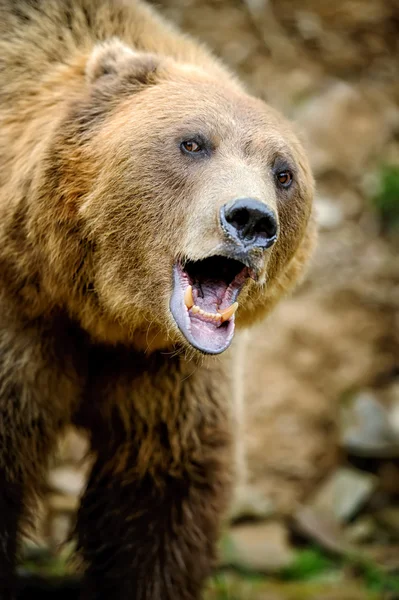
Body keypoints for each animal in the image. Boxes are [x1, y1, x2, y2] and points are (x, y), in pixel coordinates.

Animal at [0, 0, 318, 596]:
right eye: (193, 142)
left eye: (283, 172)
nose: (251, 218)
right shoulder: (23, 321)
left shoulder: (168, 375)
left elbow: (162, 494)